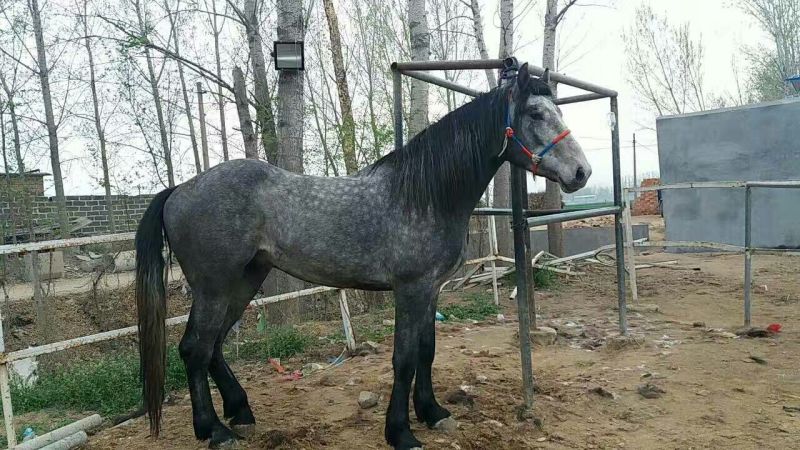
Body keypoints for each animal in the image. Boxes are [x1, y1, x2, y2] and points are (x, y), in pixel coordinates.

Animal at [135, 62, 591, 450]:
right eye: (535, 113)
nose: (582, 173)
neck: (425, 196)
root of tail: (179, 190)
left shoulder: (431, 291)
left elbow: (427, 350)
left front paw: (433, 412)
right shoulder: (410, 290)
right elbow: (404, 358)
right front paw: (401, 432)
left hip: (246, 281)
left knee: (213, 346)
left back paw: (239, 412)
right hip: (215, 287)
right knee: (195, 348)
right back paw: (214, 431)